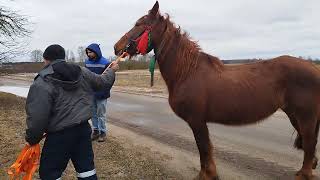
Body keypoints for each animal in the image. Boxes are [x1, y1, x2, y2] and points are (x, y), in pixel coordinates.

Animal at [114, 1, 320, 179]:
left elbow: (204, 148)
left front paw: (207, 174)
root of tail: (314, 68)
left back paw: (304, 174)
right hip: (294, 115)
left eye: (139, 24)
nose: (117, 47)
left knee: (309, 143)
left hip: (305, 117)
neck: (187, 71)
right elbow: (204, 149)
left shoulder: (197, 121)